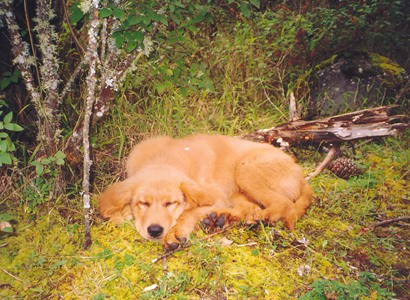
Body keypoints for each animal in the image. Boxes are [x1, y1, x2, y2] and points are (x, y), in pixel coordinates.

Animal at [98, 135, 310, 250]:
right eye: (143, 203)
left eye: (171, 203)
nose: (155, 231)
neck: (163, 158)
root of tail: (299, 171)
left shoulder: (216, 196)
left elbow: (188, 213)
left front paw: (175, 234)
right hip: (238, 189)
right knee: (252, 208)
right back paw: (221, 219)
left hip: (244, 169)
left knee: (282, 204)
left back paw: (257, 219)